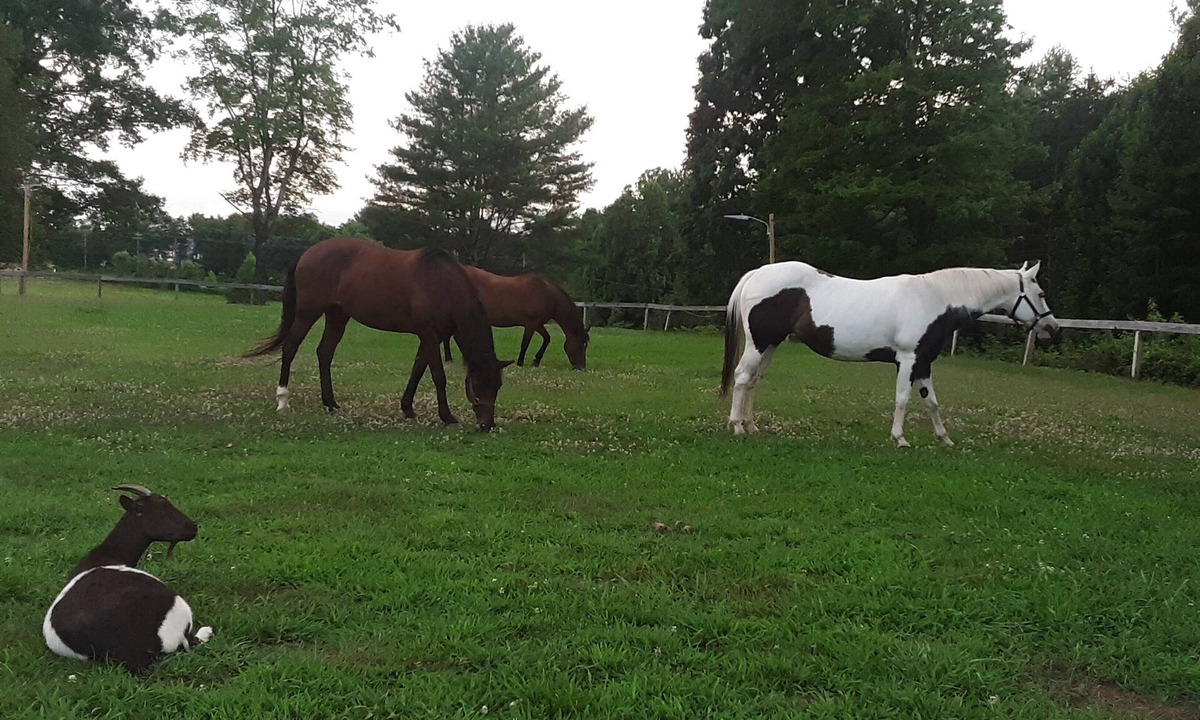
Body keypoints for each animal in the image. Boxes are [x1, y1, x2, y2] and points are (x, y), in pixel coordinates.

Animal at [244, 237, 512, 431]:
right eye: (477, 385)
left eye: (498, 386)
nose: (487, 425)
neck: (441, 283)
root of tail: (308, 253)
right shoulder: (429, 335)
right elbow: (438, 376)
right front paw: (447, 416)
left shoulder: (428, 337)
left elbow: (418, 368)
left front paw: (407, 408)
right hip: (307, 313)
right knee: (290, 348)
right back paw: (282, 401)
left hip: (337, 315)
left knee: (325, 352)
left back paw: (330, 403)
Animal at [440, 266, 590, 370]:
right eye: (581, 345)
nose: (581, 368)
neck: (546, 294)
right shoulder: (531, 324)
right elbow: (525, 344)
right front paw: (520, 362)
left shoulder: (538, 324)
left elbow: (547, 339)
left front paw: (536, 361)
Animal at [720, 261, 1059, 447]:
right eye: (1041, 293)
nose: (1053, 327)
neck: (935, 298)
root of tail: (758, 273)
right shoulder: (908, 360)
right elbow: (903, 400)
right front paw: (900, 438)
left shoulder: (924, 362)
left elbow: (932, 402)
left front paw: (944, 438)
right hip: (759, 344)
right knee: (742, 377)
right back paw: (736, 426)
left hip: (771, 345)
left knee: (753, 381)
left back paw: (751, 425)